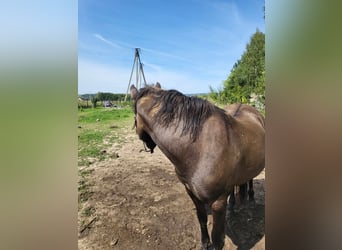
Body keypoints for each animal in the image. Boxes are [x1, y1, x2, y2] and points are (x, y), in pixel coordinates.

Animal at [130, 84, 266, 250]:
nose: (148, 145)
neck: (199, 148)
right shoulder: (192, 193)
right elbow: (201, 219)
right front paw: (204, 243)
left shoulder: (218, 203)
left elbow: (218, 239)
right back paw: (232, 206)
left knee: (250, 179)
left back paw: (251, 200)